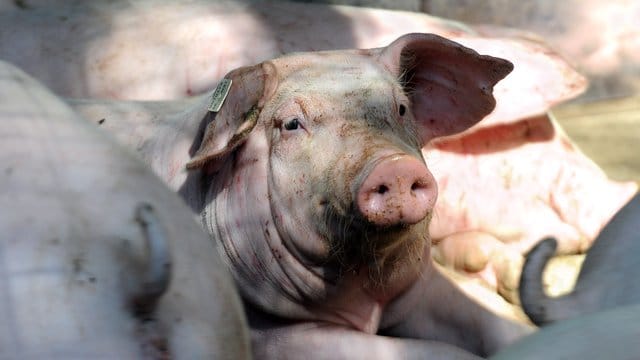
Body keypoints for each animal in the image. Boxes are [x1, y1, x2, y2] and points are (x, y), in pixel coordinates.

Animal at [66, 33, 536, 358]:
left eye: (401, 108)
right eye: (292, 124)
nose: (394, 167)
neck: (364, 298)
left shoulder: (419, 288)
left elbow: (490, 325)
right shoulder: (274, 337)